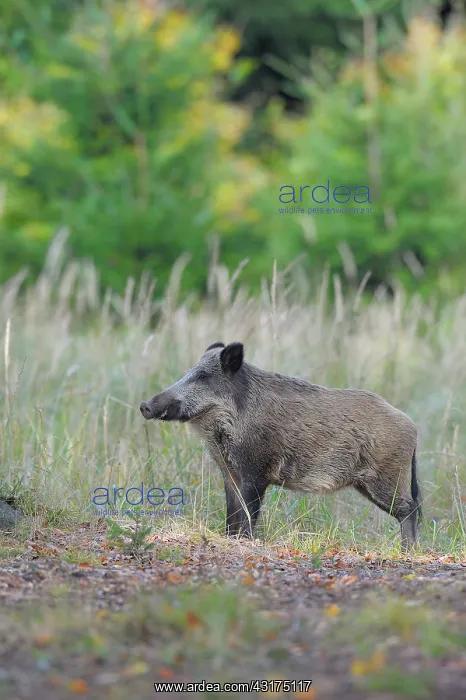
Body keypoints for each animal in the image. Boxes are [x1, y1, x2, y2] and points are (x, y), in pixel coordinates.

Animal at [140, 342, 421, 550]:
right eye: (188, 372)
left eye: (202, 376)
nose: (145, 405)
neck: (222, 429)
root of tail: (412, 427)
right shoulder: (229, 473)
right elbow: (232, 512)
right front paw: (230, 538)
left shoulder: (256, 471)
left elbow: (249, 512)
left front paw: (245, 542)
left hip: (386, 476)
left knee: (410, 508)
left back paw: (408, 550)